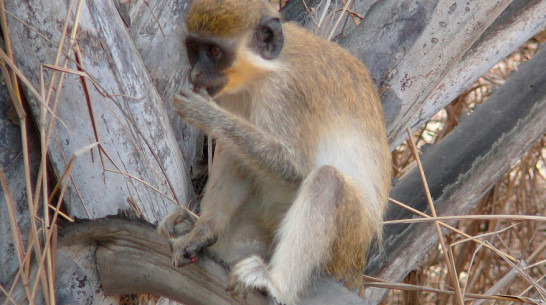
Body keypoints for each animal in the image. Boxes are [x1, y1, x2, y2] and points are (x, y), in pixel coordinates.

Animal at [157, 0, 392, 302]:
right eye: (194, 48)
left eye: (214, 52)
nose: (195, 73)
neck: (264, 70)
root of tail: (356, 268)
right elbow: (234, 154)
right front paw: (204, 230)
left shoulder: (285, 94)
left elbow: (295, 168)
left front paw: (207, 115)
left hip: (346, 243)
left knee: (328, 181)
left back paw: (276, 285)